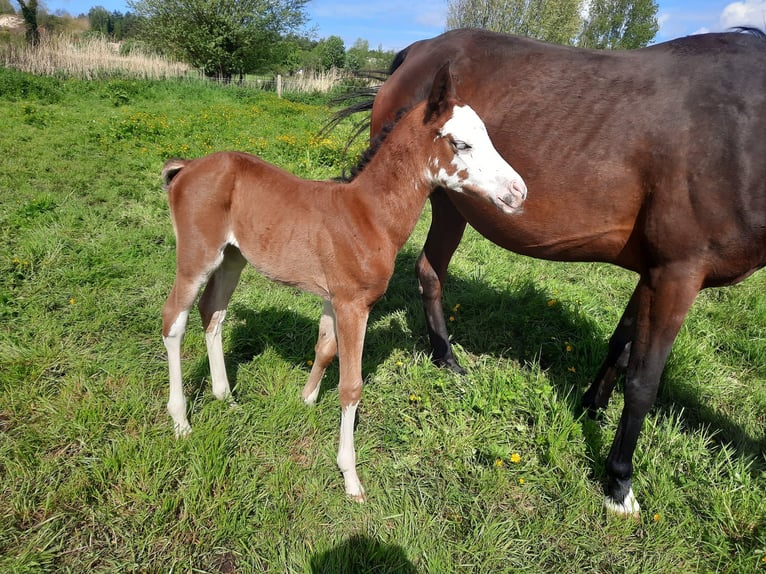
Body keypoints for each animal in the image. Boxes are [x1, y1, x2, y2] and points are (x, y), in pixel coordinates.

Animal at [161, 65, 528, 502]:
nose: (519, 191)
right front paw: (350, 476)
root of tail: (187, 166)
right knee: (174, 319)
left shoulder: (333, 298)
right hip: (196, 256)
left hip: (232, 257)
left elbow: (324, 348)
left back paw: (226, 397)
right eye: (462, 143)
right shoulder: (354, 304)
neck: (368, 215)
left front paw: (305, 400)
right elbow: (351, 386)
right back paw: (180, 421)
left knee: (213, 312)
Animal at [342, 29, 766, 516]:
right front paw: (619, 481)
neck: (742, 133)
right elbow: (643, 381)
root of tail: (419, 50)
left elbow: (622, 345)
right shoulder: (679, 273)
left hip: (450, 202)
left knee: (430, 271)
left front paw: (593, 406)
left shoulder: (653, 273)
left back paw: (445, 358)